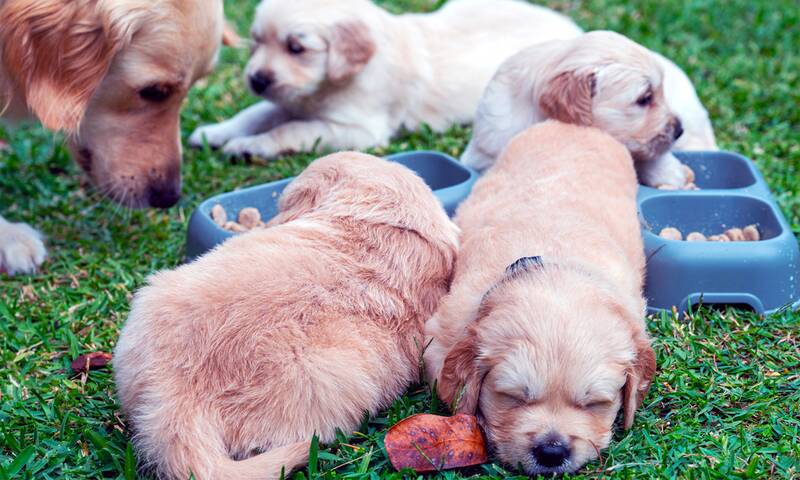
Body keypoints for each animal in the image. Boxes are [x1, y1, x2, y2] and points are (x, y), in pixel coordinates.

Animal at [188, 0, 580, 161]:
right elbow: (254, 114)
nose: (255, 79)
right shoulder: (291, 98)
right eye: (255, 41)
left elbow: (292, 129)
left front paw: (252, 146)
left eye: (296, 47)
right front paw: (215, 133)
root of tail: (571, 27)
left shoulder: (359, 129)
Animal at [424, 122, 656, 474]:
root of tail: (571, 125)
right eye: (513, 397)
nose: (551, 452)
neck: (551, 265)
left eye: (594, 403)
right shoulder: (441, 335)